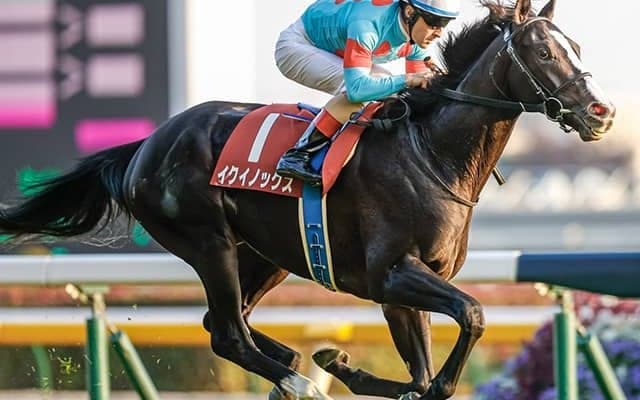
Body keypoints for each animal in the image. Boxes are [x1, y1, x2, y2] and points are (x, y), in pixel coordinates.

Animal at [0, 0, 615, 398]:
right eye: (542, 51)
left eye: (577, 46)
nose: (602, 112)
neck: (431, 154)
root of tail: (148, 143)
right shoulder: (391, 274)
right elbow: (472, 317)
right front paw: (345, 366)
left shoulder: (404, 288)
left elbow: (421, 374)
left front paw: (343, 362)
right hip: (208, 243)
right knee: (228, 334)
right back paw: (298, 380)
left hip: (266, 255)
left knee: (221, 323)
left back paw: (296, 362)